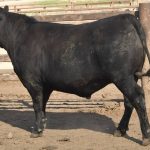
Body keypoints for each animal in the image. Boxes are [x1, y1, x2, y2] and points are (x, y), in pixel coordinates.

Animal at [0, 6, 150, 145]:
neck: (18, 36)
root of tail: (126, 17)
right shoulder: (46, 84)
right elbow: (42, 105)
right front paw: (42, 126)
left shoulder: (33, 81)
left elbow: (37, 105)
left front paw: (36, 131)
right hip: (131, 76)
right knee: (129, 102)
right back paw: (120, 130)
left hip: (123, 77)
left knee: (138, 98)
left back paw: (145, 137)